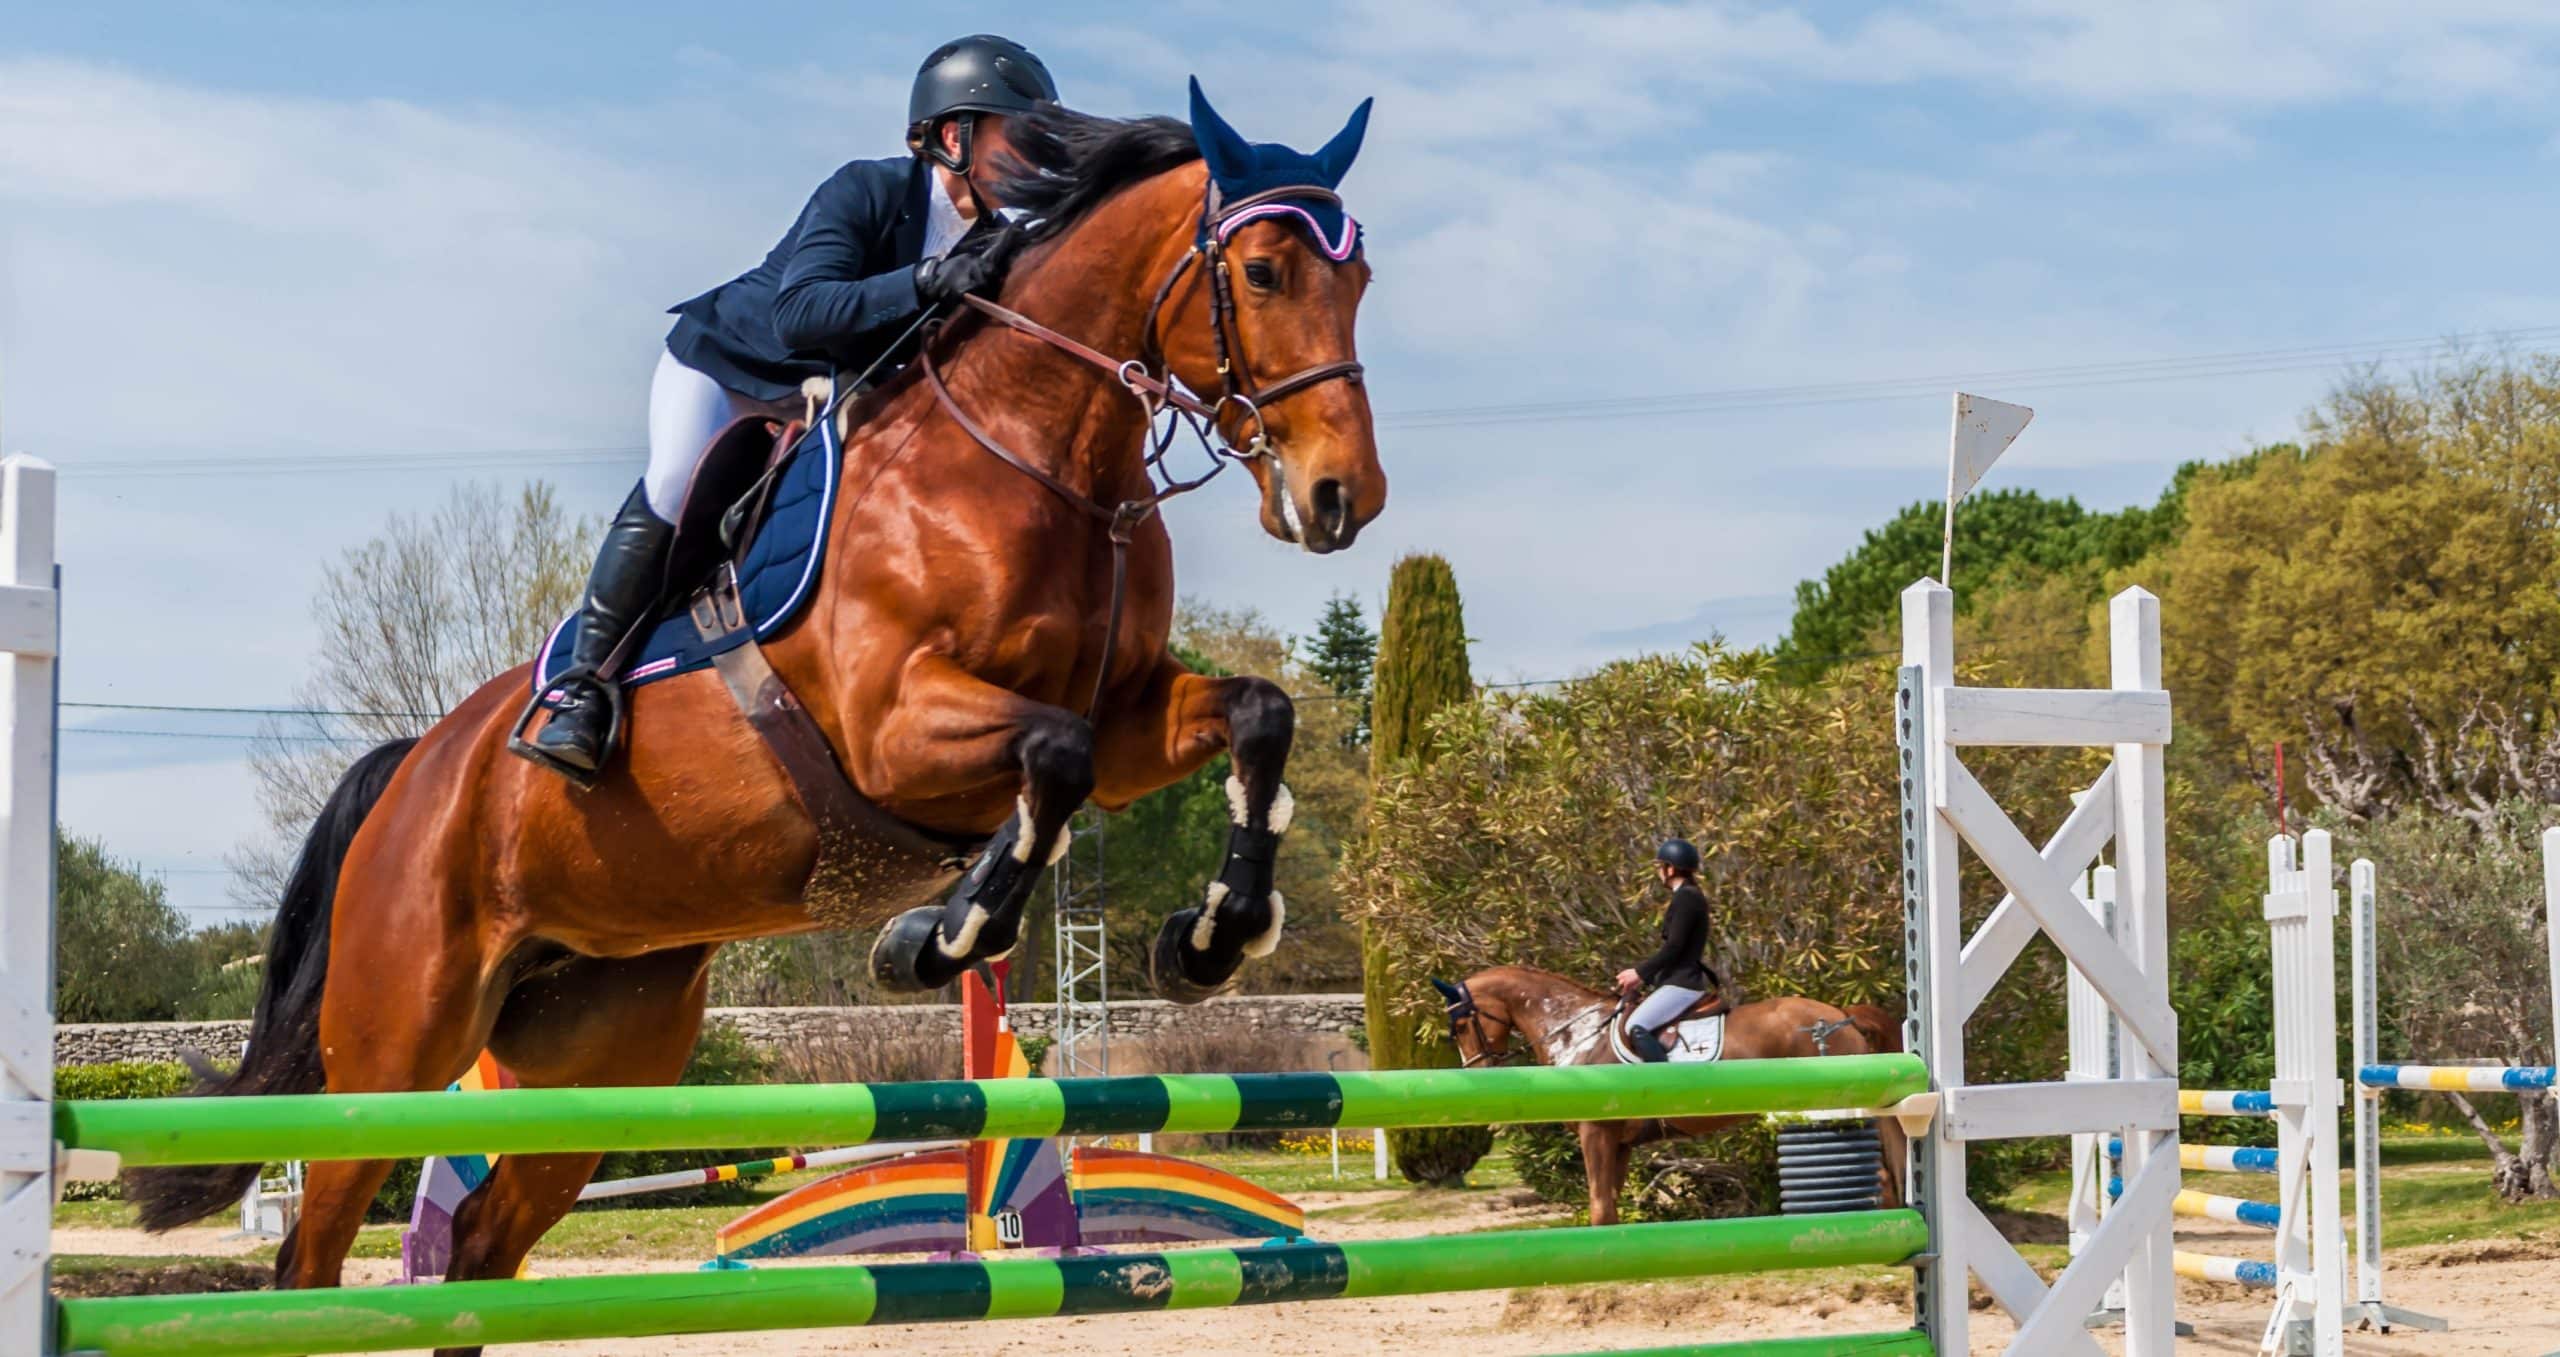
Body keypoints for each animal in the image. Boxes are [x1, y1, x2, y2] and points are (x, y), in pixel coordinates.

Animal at [129, 94, 1392, 1341]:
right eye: (1265, 272)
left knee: (482, 1244)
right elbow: (1054, 754)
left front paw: (1214, 934)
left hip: (605, 1048)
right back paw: (571, 723)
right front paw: (937, 936)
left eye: (1361, 277)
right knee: (311, 1250)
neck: (1038, 455)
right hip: (400, 1039)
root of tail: (413, 768)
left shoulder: (1129, 713)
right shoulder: (894, 729)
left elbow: (1254, 714)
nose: (1343, 499)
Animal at [1443, 962, 1904, 1223]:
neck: (1578, 1033)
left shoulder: (1596, 1133)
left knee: (1879, 1179)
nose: (1478, 1071)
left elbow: (1599, 1208)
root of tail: (1841, 1013)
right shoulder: (1619, 1142)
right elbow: (1610, 1208)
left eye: (1462, 1025)